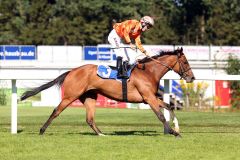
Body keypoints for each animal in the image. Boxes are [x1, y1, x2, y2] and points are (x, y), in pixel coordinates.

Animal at [20, 47, 195, 138]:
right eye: (186, 62)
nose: (192, 77)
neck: (149, 72)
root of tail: (72, 71)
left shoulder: (149, 98)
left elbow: (169, 106)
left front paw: (177, 129)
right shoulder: (149, 98)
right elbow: (160, 115)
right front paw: (173, 132)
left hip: (90, 97)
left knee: (90, 119)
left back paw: (101, 134)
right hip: (70, 96)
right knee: (56, 111)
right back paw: (42, 130)